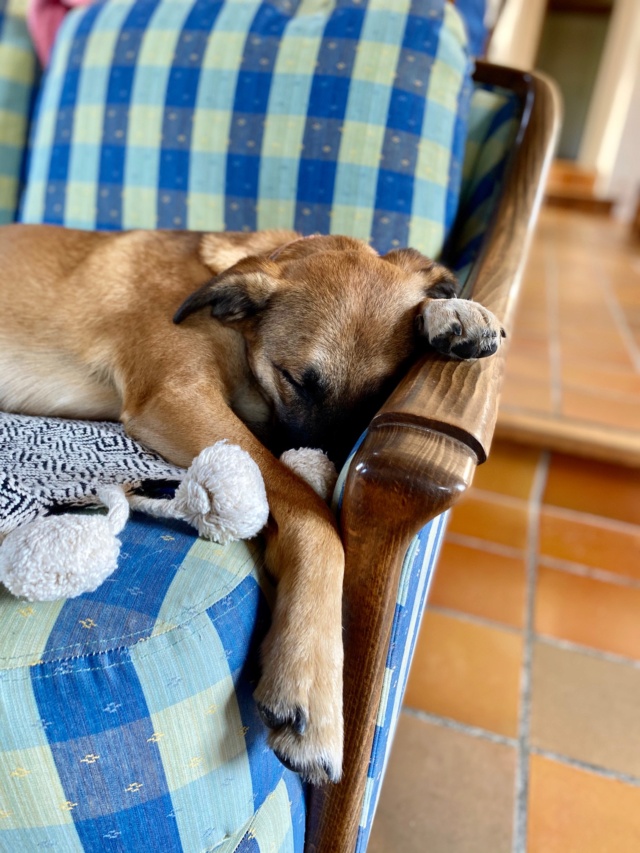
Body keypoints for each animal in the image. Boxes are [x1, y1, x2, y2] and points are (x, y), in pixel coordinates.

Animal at [0, 223, 504, 784]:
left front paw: (453, 313)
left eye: (380, 395)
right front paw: (312, 686)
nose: (330, 469)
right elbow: (311, 514)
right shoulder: (180, 394)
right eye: (295, 380)